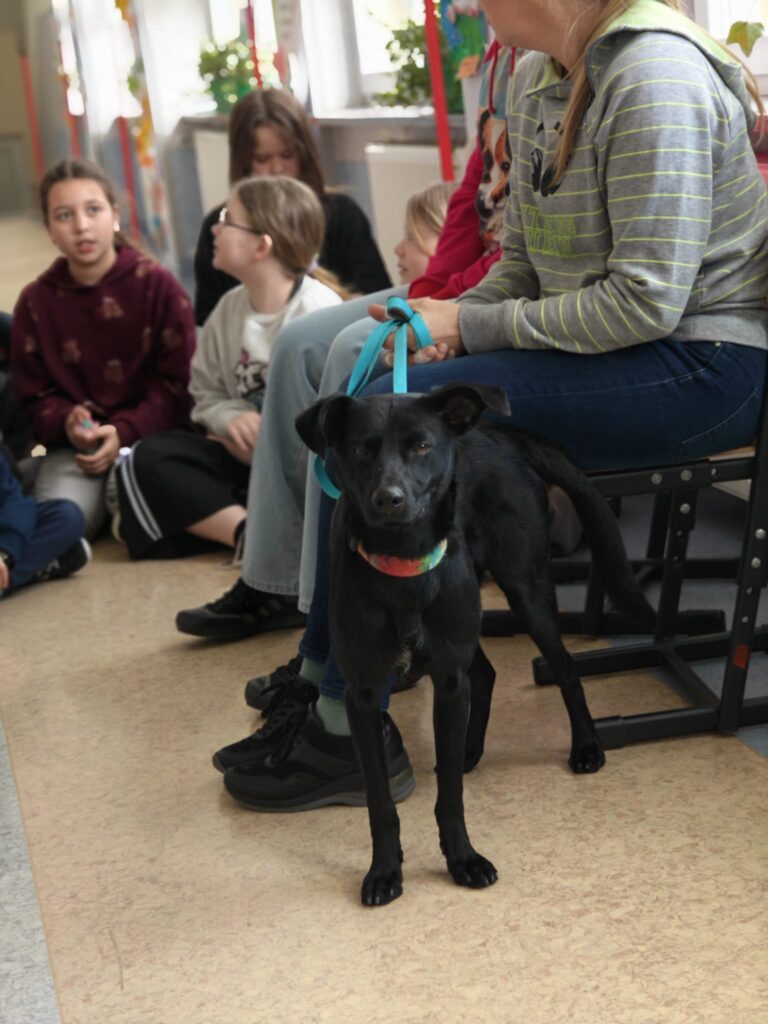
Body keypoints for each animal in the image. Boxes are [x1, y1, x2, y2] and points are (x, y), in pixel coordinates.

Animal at [296, 383, 654, 907]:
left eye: (422, 446)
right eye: (362, 448)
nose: (389, 499)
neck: (403, 564)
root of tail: (499, 435)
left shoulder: (447, 679)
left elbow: (450, 799)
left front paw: (462, 859)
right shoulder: (365, 695)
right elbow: (380, 803)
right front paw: (384, 871)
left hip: (526, 588)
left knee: (566, 668)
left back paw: (586, 746)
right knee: (484, 673)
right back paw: (468, 750)